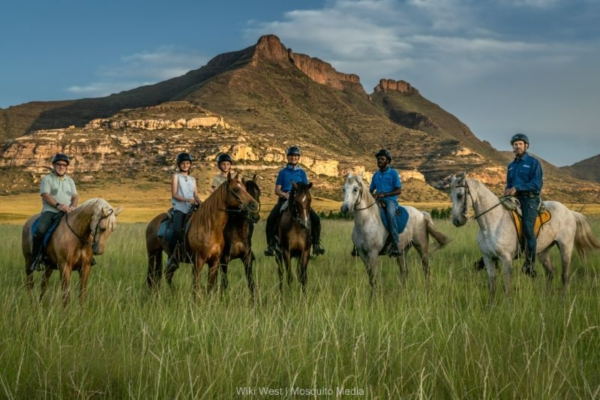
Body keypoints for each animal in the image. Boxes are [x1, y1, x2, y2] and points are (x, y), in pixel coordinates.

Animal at [450, 172, 600, 300]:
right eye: (451, 197)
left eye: (460, 195)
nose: (457, 221)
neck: (492, 222)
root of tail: (569, 212)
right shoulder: (488, 258)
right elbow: (492, 286)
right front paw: (490, 307)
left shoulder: (506, 259)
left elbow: (507, 287)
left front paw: (507, 307)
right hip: (543, 251)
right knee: (550, 272)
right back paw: (546, 298)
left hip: (565, 246)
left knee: (565, 275)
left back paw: (564, 300)